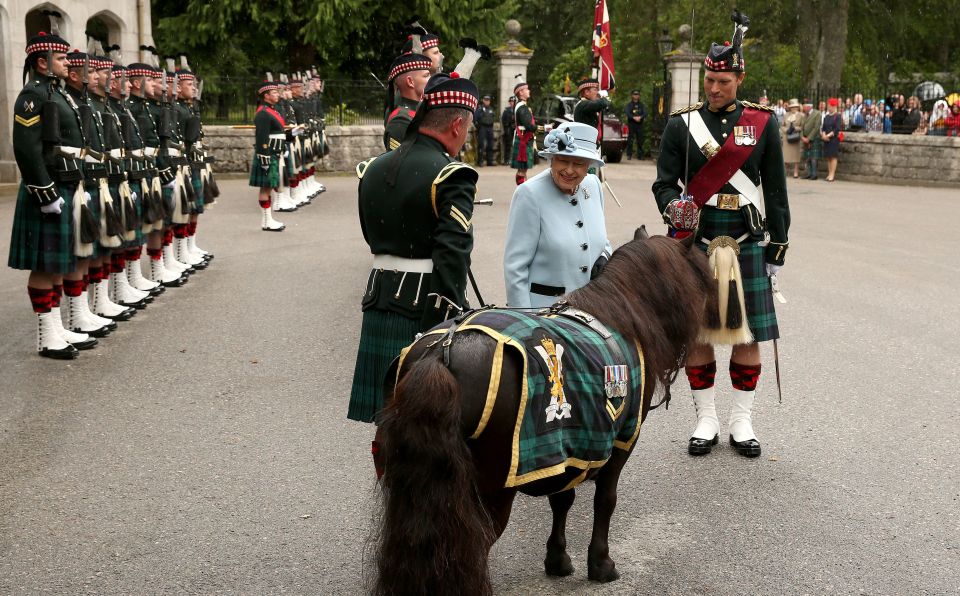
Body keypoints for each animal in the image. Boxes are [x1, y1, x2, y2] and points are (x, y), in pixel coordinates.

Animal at [372, 229, 716, 596]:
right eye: (700, 275)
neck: (621, 318)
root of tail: (443, 352)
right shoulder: (621, 442)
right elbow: (605, 500)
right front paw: (601, 563)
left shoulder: (568, 444)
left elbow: (562, 499)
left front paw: (557, 558)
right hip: (489, 492)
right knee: (472, 548)